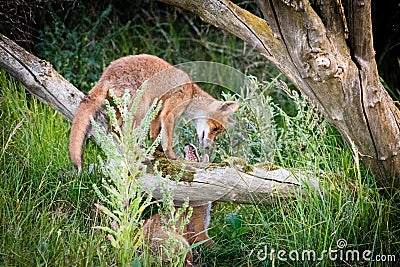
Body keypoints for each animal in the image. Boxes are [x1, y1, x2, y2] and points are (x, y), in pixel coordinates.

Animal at [69, 54, 239, 172]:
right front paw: (171, 156)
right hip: (141, 107)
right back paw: (141, 154)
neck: (191, 94)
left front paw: (158, 151)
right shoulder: (169, 112)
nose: (209, 147)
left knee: (116, 129)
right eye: (215, 129)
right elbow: (167, 139)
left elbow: (155, 135)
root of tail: (107, 73)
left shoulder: (157, 113)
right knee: (124, 131)